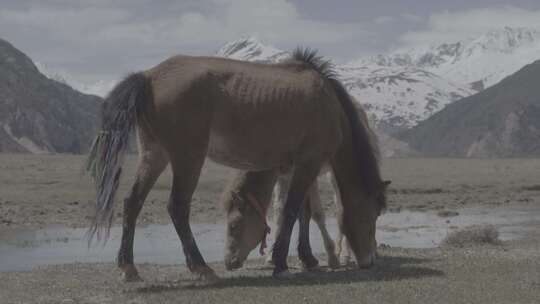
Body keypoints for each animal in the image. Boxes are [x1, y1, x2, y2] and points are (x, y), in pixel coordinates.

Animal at [86, 47, 386, 282]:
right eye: (370, 217)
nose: (369, 261)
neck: (329, 104)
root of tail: (149, 77)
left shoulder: (294, 168)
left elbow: (301, 212)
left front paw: (307, 259)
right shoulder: (308, 164)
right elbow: (291, 211)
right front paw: (281, 263)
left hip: (154, 154)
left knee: (132, 202)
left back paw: (128, 267)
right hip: (187, 156)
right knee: (177, 207)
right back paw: (201, 268)